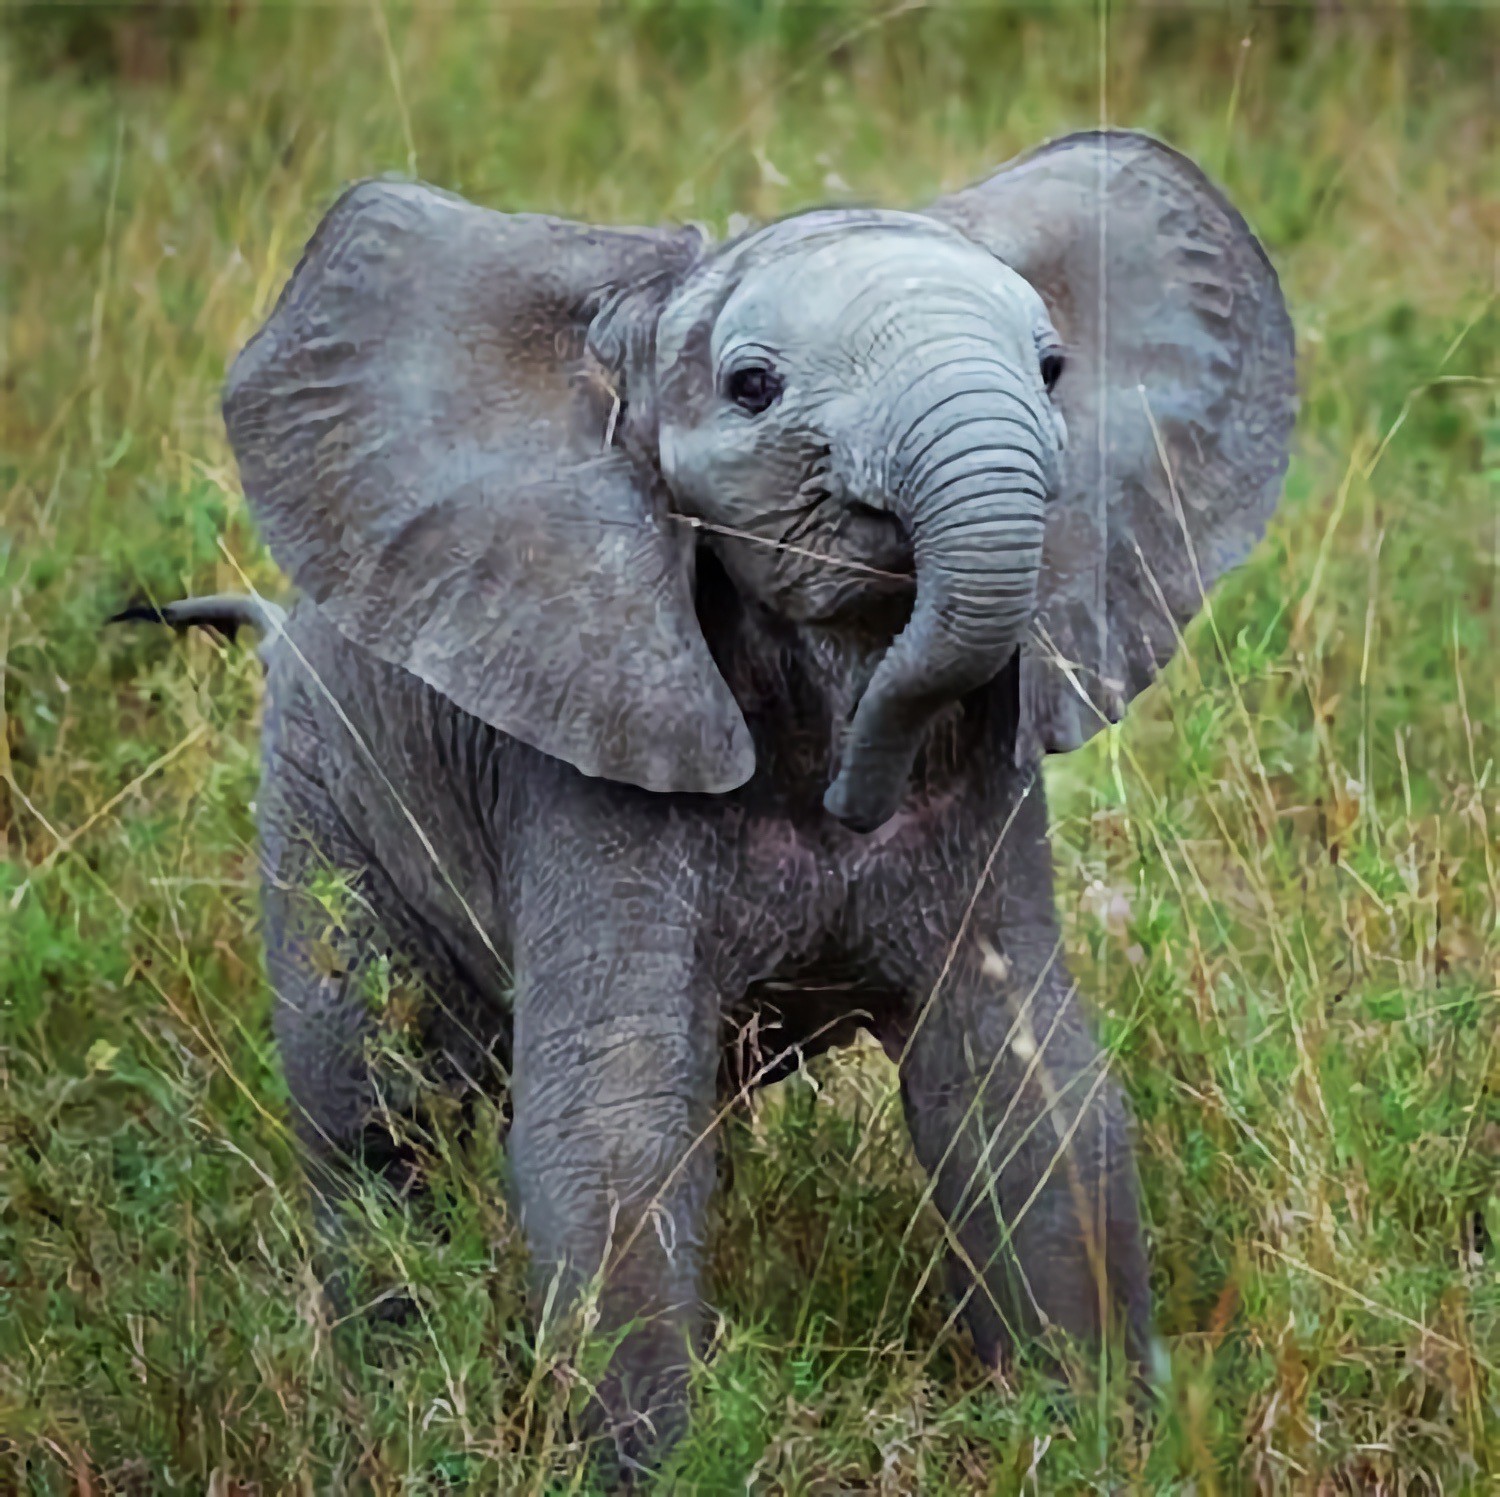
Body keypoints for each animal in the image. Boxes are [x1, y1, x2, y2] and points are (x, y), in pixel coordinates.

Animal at [119, 129, 1295, 1475]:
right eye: (751, 387)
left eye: (1054, 370)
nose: (856, 797)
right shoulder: (585, 753)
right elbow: (614, 1130)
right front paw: (659, 1468)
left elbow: (1025, 1090)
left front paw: (1095, 1444)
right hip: (320, 789)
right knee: (375, 1114)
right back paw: (388, 1396)